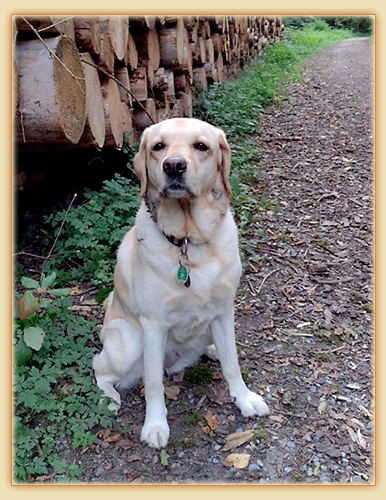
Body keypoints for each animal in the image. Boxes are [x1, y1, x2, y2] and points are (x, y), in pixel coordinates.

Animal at [93, 118, 268, 450]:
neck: (188, 240)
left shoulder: (224, 312)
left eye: (201, 146)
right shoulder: (153, 326)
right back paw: (108, 398)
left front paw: (244, 398)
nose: (173, 165)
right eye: (158, 146)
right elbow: (153, 384)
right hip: (128, 343)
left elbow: (232, 363)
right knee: (100, 368)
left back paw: (211, 350)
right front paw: (155, 426)